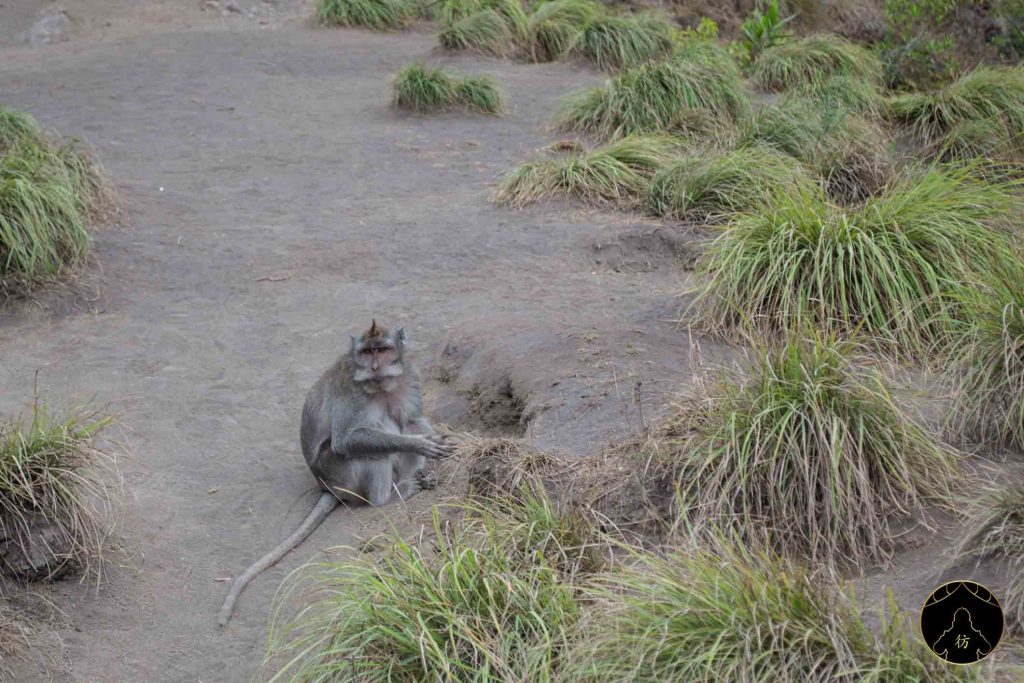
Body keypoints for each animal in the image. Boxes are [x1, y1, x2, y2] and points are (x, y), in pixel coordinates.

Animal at [217, 320, 455, 627]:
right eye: (366, 352)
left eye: (382, 350)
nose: (374, 367)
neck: (382, 386)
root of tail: (326, 485)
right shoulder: (349, 391)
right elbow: (347, 440)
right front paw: (418, 444)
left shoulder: (410, 377)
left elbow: (415, 419)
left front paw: (426, 446)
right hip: (339, 471)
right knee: (375, 444)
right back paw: (391, 496)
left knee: (411, 422)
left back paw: (413, 479)